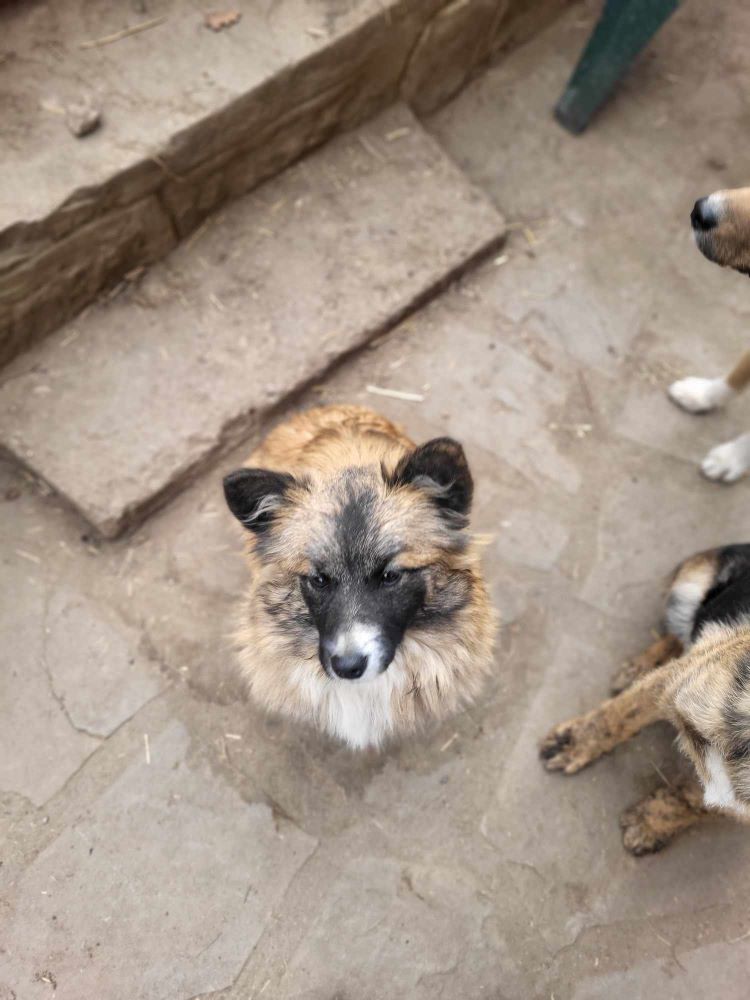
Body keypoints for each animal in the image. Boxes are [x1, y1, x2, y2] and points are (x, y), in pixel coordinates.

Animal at [544, 544, 750, 856]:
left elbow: (697, 800)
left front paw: (651, 823)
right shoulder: (676, 683)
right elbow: (619, 714)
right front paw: (574, 742)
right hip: (691, 580)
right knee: (679, 636)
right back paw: (638, 669)